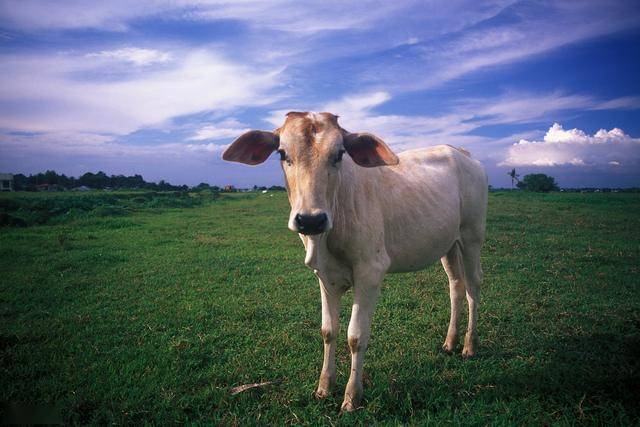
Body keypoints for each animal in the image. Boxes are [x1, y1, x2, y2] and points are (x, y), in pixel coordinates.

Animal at [222, 112, 488, 412]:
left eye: (339, 154)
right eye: (282, 153)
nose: (311, 220)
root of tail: (463, 153)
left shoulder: (371, 271)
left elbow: (356, 336)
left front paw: (351, 396)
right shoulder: (324, 275)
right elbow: (328, 330)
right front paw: (324, 387)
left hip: (472, 235)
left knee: (473, 286)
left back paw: (469, 345)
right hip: (448, 243)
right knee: (456, 285)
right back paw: (450, 342)